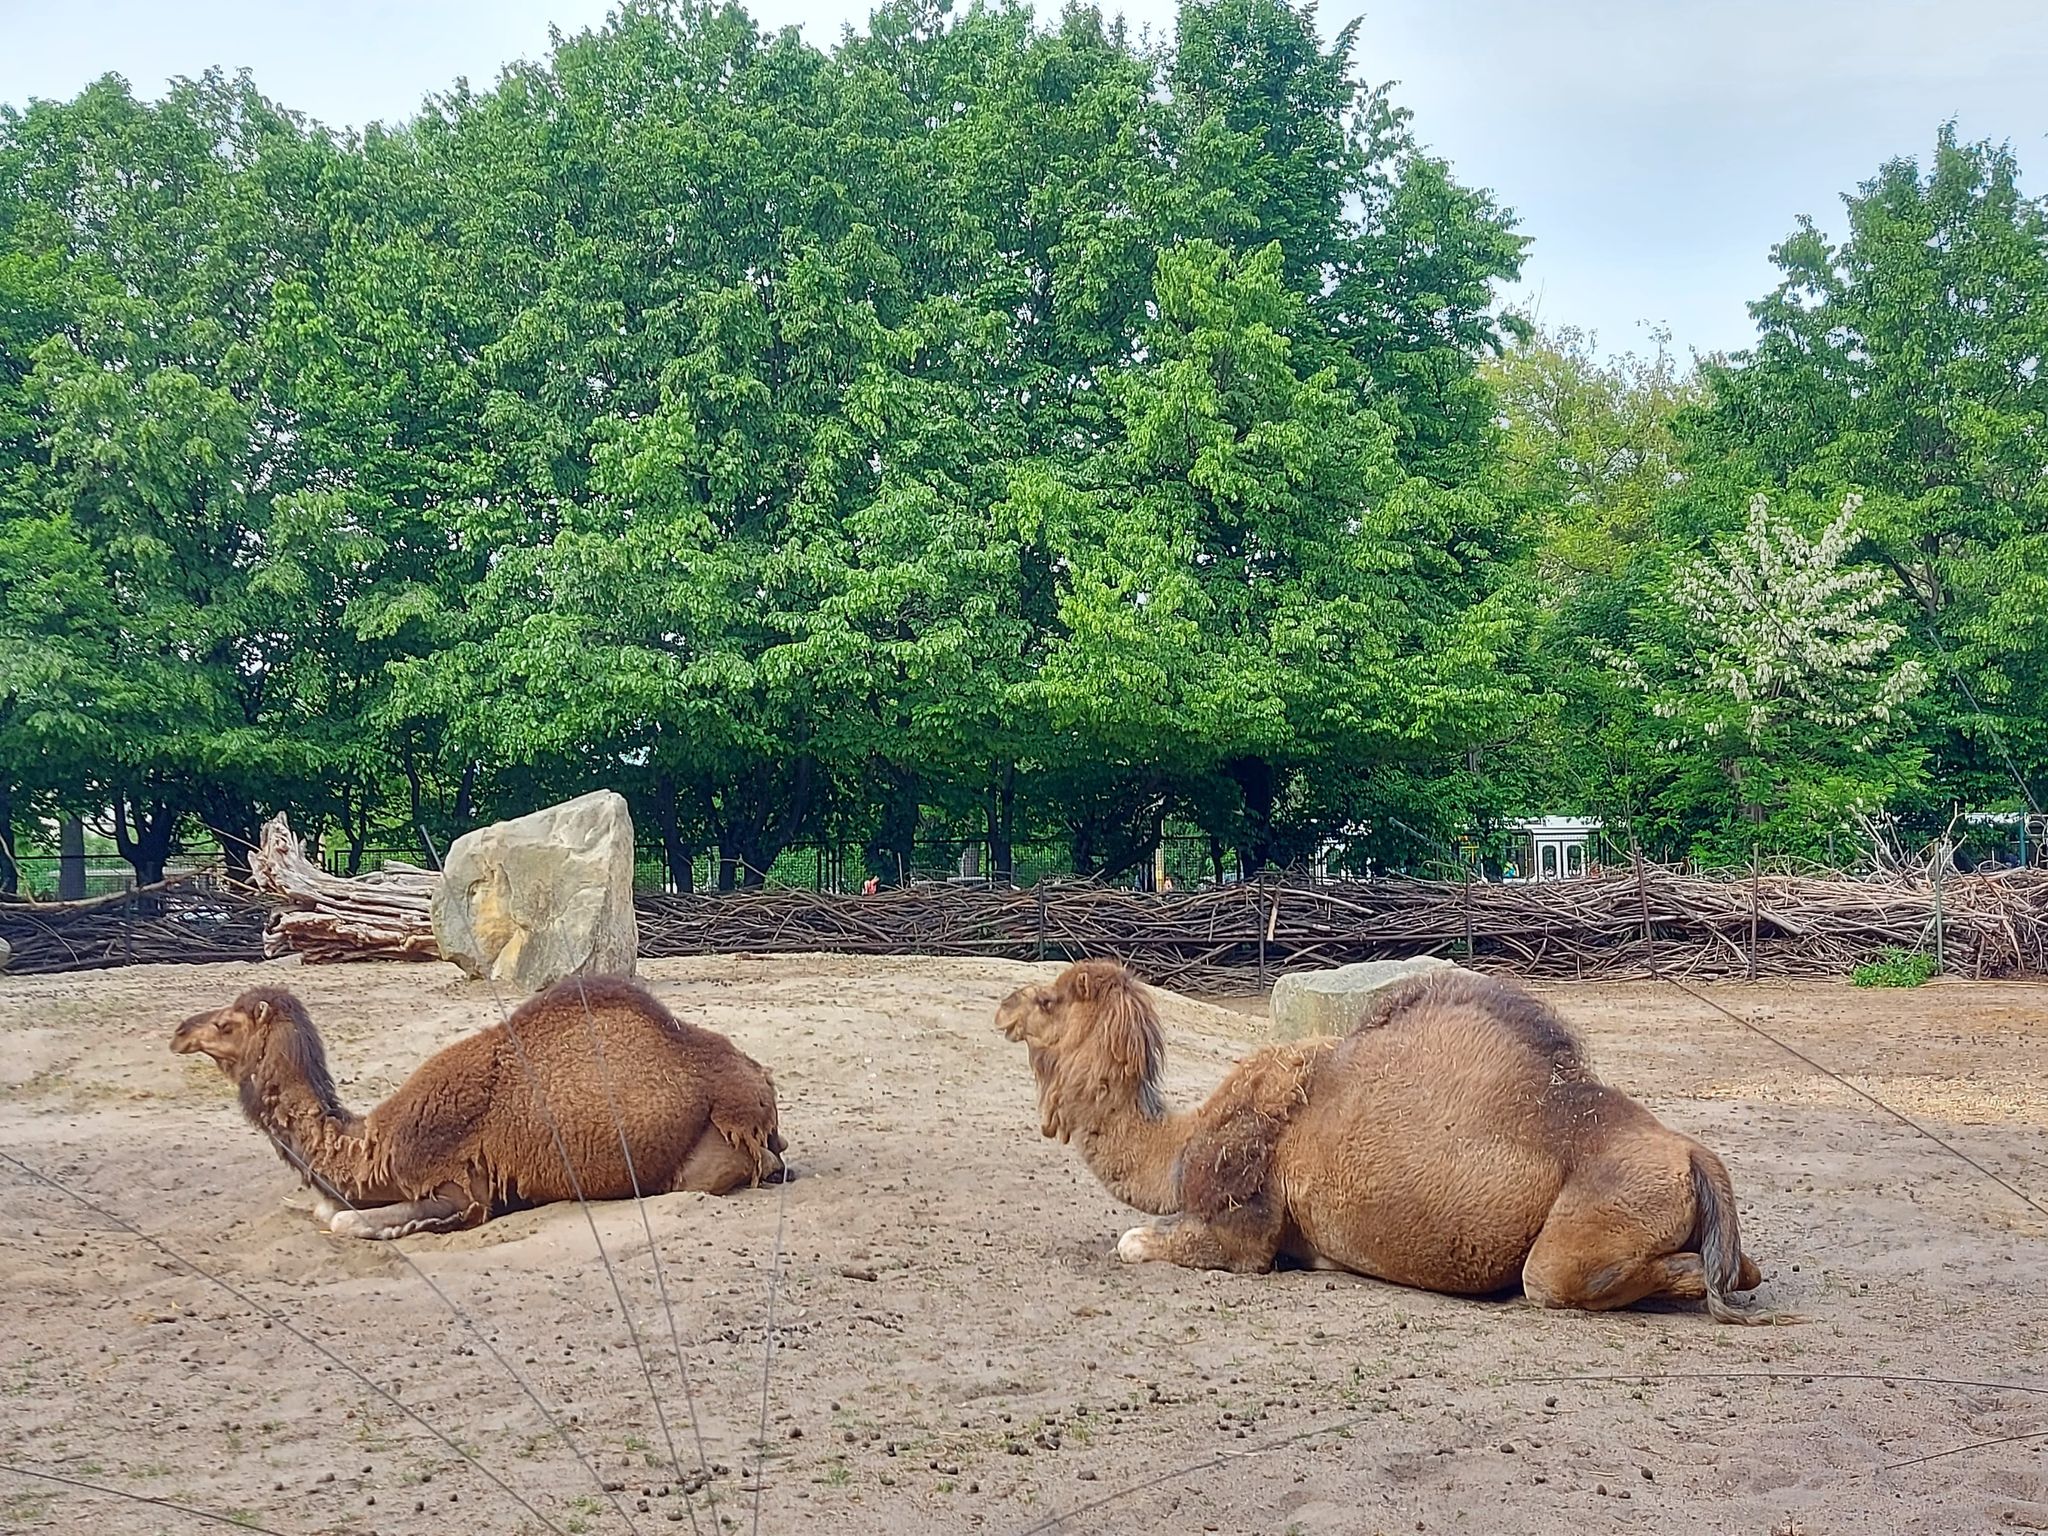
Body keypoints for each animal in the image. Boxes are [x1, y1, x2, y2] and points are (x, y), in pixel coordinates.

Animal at [172, 978, 782, 1245]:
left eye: (226, 1023)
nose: (179, 1031)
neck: (376, 1144)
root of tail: (760, 1086)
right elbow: (327, 1209)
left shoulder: (458, 1185)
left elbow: (345, 1219)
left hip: (712, 1153)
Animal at [999, 962, 1785, 1327]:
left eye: (1050, 1000)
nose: (1004, 1004)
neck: (1185, 1141)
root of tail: (1698, 1159)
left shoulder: (1245, 1233)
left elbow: (1134, 1242)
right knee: (1740, 1266)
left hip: (1577, 1242)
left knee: (1566, 1278)